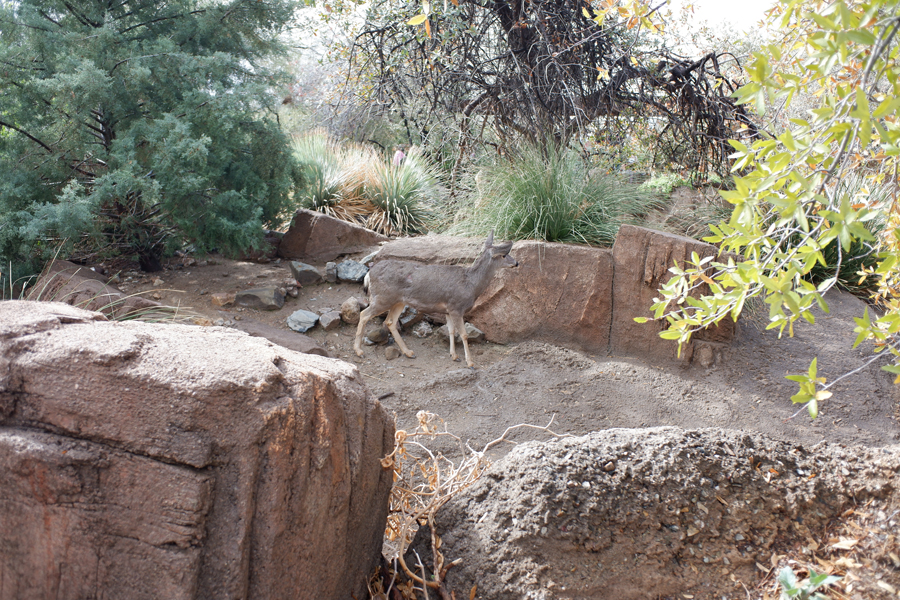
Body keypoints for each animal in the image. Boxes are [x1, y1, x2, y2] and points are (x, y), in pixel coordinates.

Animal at [354, 232, 518, 368]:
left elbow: (451, 331)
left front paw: (454, 356)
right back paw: (359, 351)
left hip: (398, 301)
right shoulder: (456, 307)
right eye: (504, 255)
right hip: (383, 298)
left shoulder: (447, 310)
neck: (471, 284)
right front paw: (470, 362)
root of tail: (368, 274)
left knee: (389, 321)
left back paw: (409, 352)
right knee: (364, 314)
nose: (517, 263)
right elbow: (463, 334)